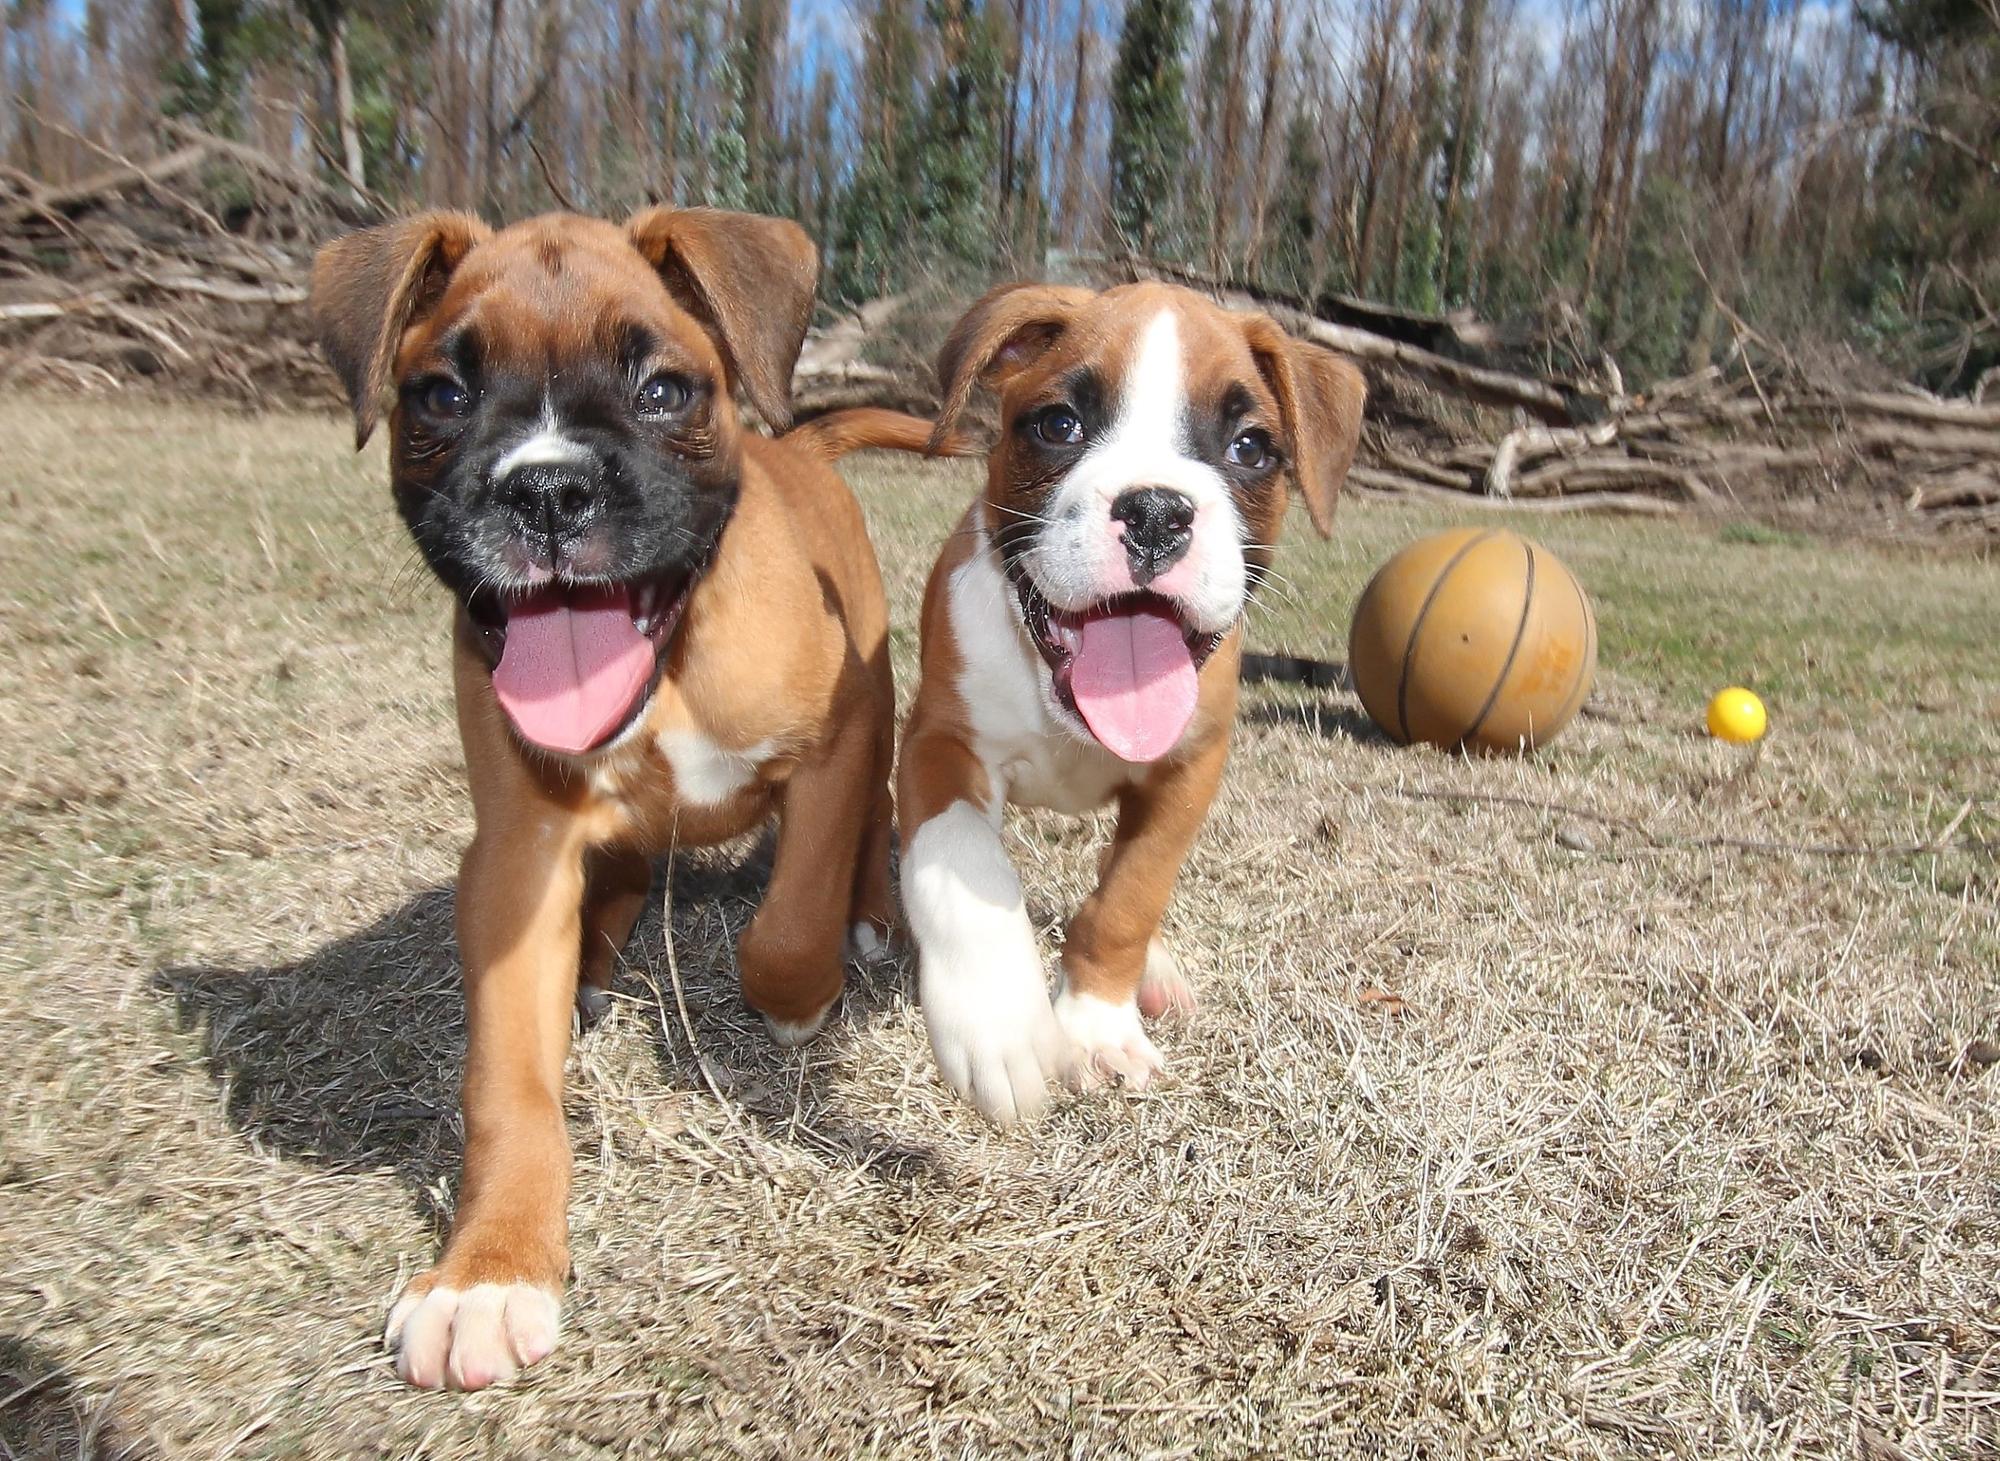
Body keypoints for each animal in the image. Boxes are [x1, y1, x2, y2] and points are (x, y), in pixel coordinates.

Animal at [308, 208, 904, 1384]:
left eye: (664, 389)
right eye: (439, 395)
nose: (545, 489)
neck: (667, 661)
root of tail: (797, 445)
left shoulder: (835, 751)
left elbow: (787, 923)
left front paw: (799, 1000)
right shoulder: (518, 858)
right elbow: (506, 1088)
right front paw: (489, 1270)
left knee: (866, 848)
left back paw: (866, 923)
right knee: (622, 870)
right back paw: (593, 962)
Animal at [900, 288, 1368, 1128]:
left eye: (1252, 446)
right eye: (1058, 424)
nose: (1154, 512)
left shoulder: (1188, 770)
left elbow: (1129, 895)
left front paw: (1095, 1026)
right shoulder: (940, 740)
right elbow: (961, 857)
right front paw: (997, 1017)